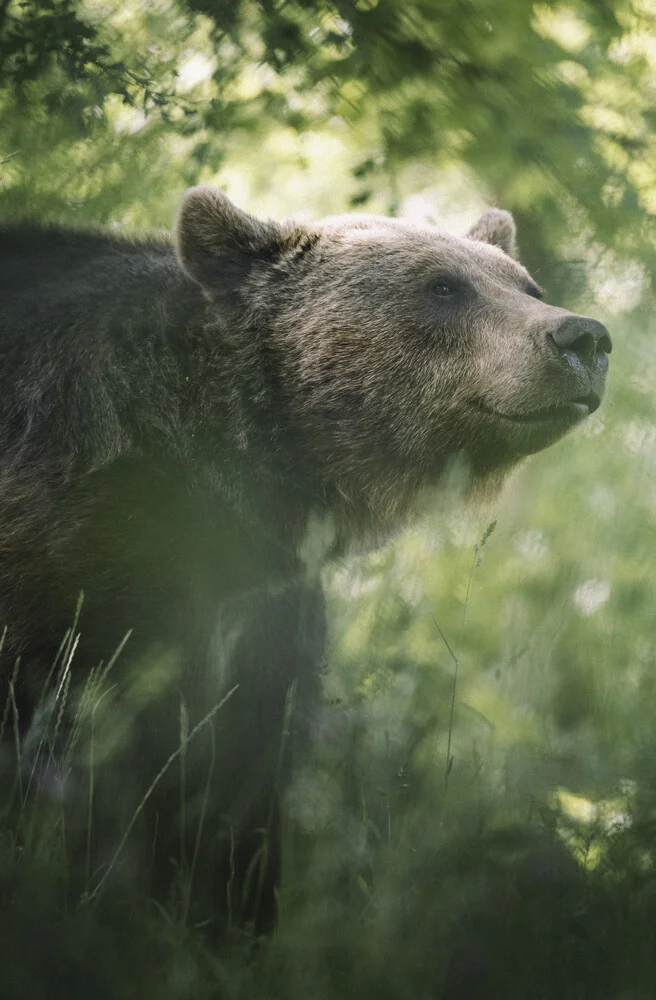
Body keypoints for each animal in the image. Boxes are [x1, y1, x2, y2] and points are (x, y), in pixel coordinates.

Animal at [0, 189, 608, 928]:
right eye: (443, 287)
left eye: (527, 286)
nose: (583, 336)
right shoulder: (72, 554)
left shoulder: (258, 610)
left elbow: (237, 781)